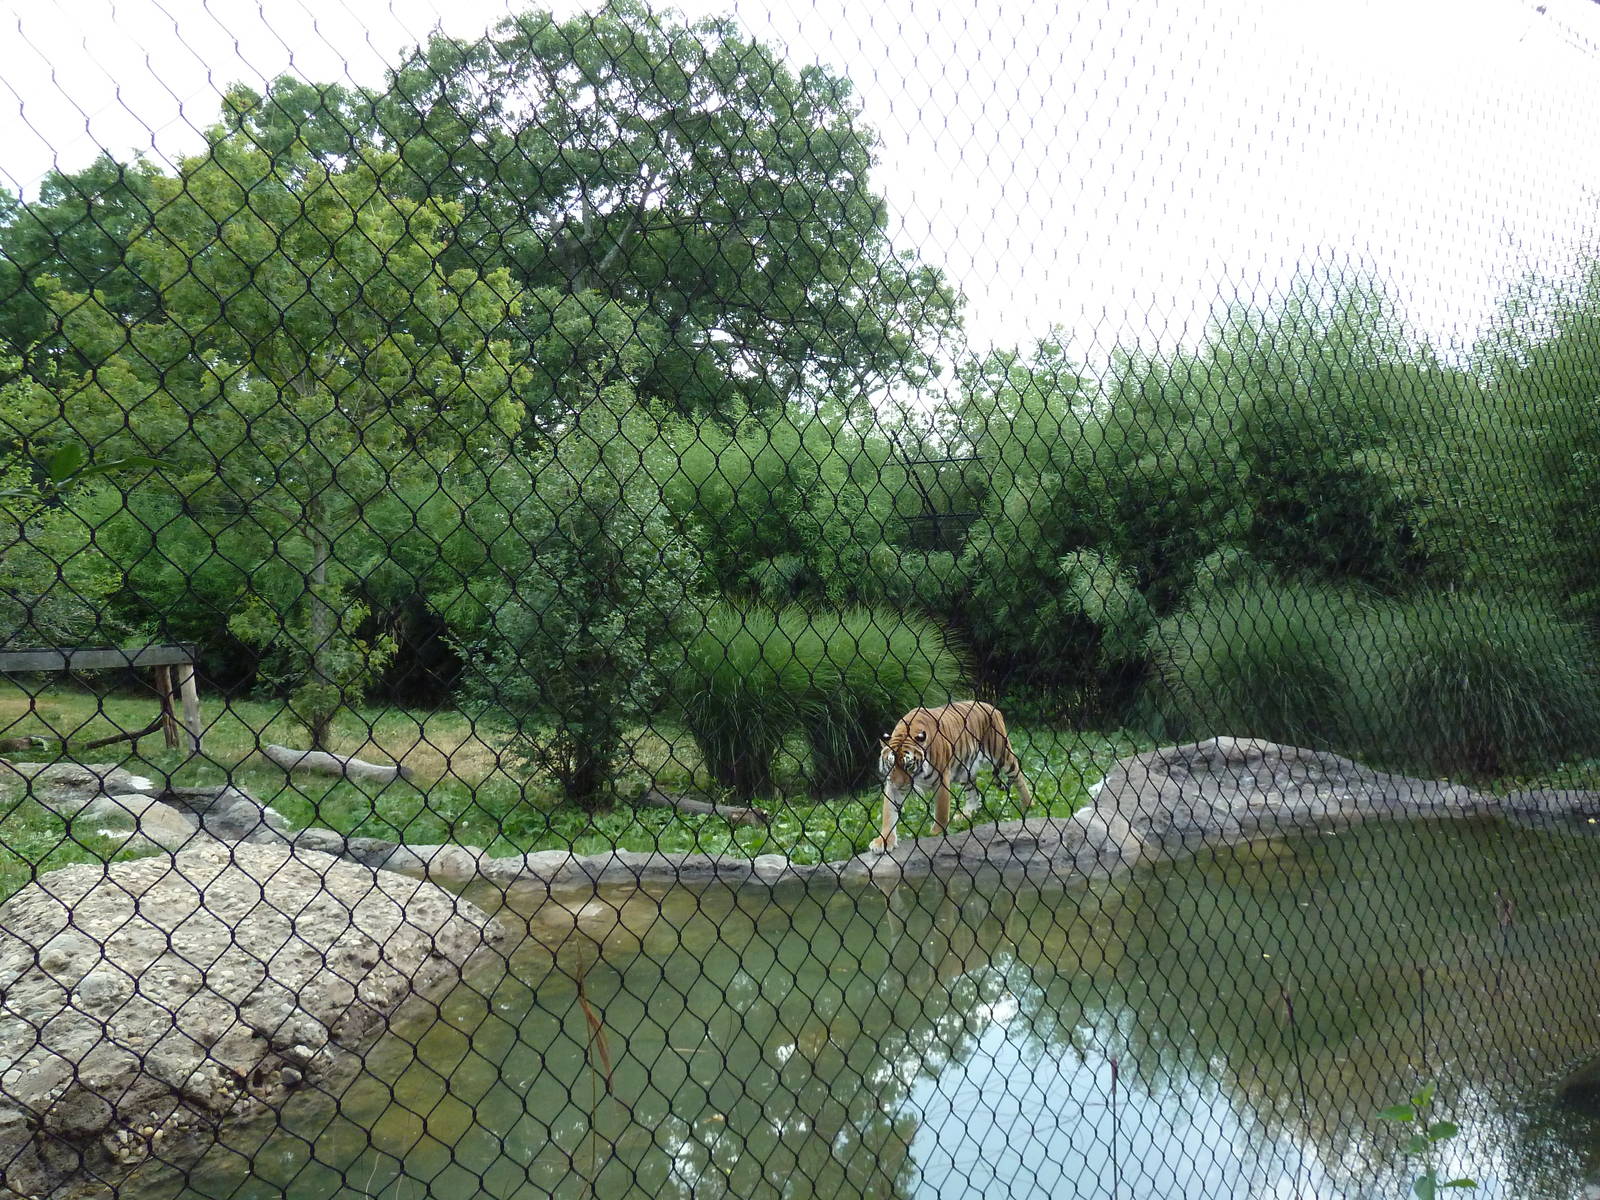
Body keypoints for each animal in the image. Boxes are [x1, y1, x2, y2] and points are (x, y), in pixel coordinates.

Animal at [872, 700, 1034, 854]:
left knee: (1018, 776)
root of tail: (991, 707)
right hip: (966, 770)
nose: (900, 785)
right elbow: (889, 814)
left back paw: (1028, 804)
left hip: (1002, 754)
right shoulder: (891, 785)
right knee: (973, 794)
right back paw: (965, 815)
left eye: (908, 765)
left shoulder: (942, 779)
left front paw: (936, 833)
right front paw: (883, 842)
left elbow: (941, 811)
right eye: (891, 766)